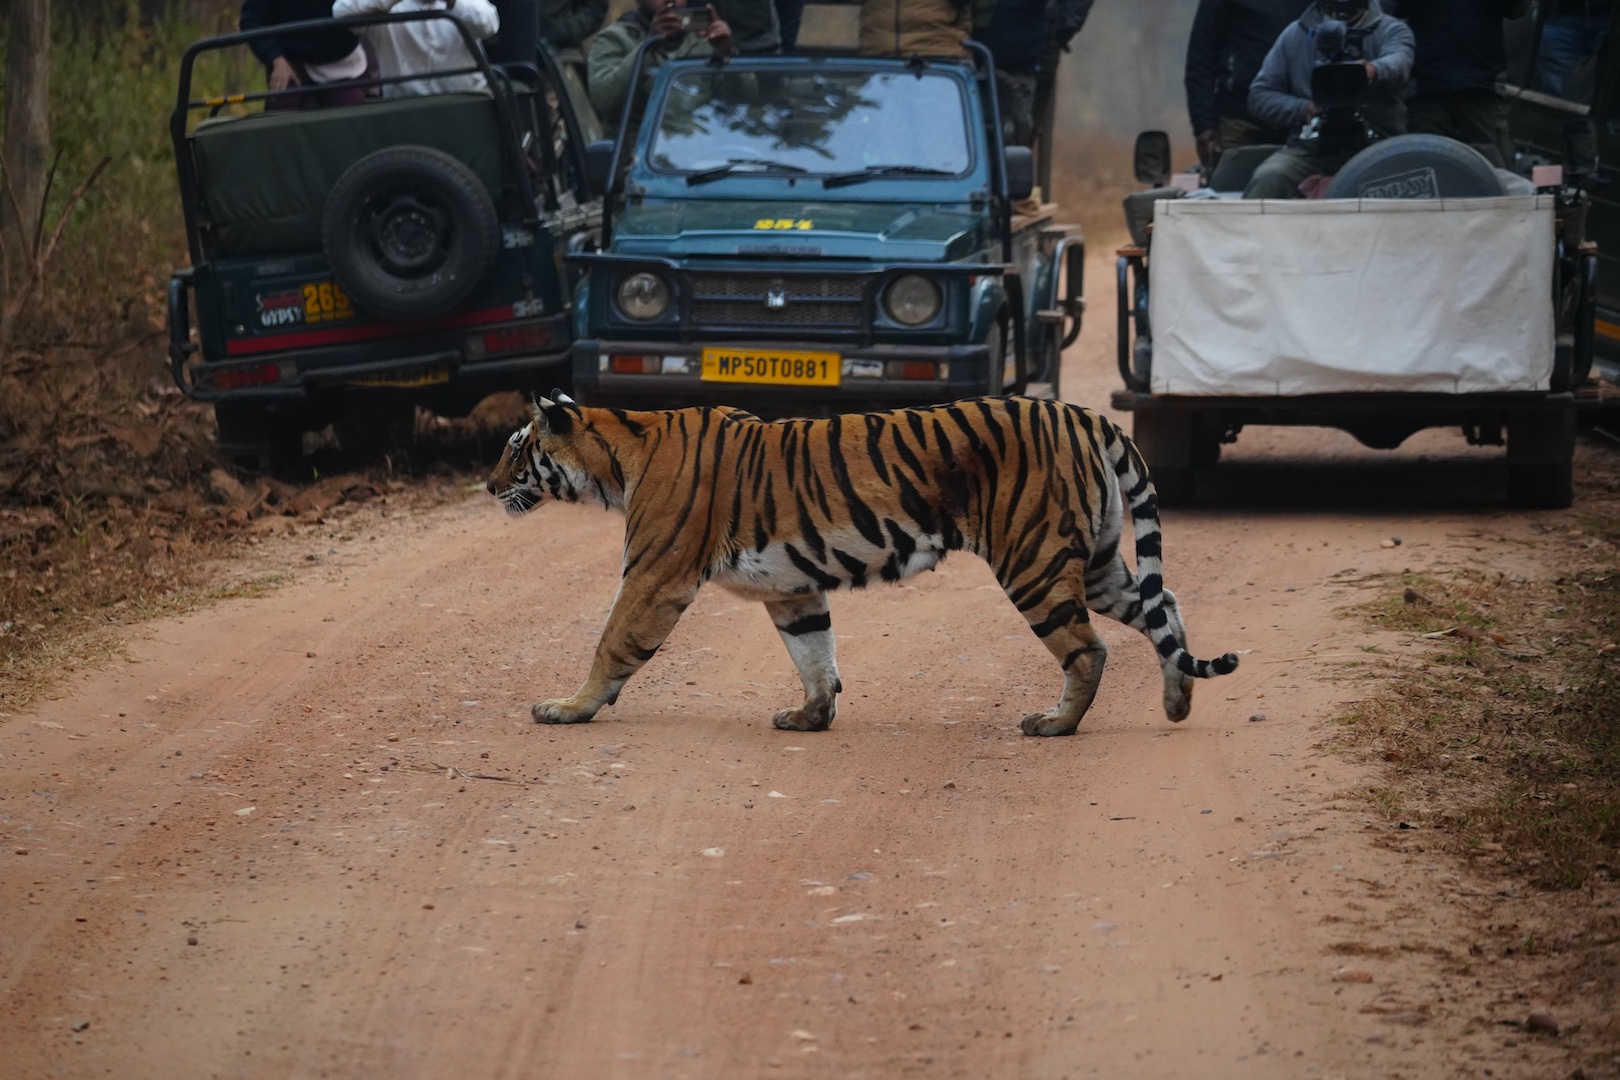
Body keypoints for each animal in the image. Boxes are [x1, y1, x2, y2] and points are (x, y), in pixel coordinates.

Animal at [486, 392, 1238, 737]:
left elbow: (612, 642)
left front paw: (568, 707)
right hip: (1098, 559)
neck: (619, 457)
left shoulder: (654, 575)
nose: (488, 487)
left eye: (515, 447)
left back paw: (1054, 725)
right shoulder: (791, 588)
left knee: (1089, 648)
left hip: (1035, 561)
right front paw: (810, 716)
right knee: (1164, 606)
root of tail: (1090, 416)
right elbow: (814, 654)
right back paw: (1177, 700)